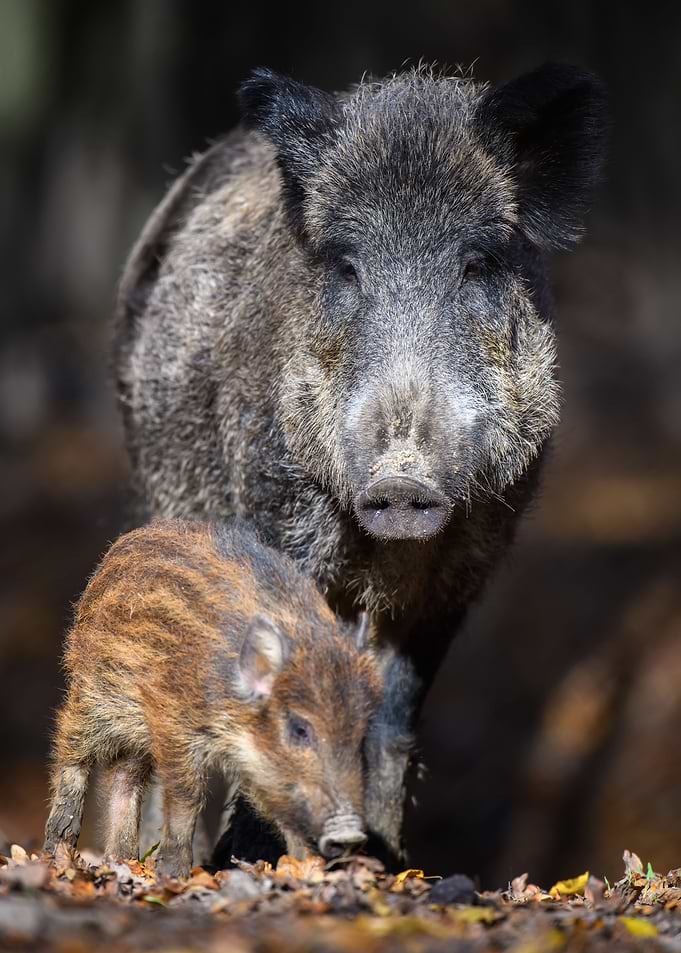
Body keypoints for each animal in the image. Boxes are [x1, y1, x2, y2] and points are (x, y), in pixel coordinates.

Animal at [44, 520, 381, 877]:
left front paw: (306, 869)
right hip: (94, 691)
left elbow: (280, 807)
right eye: (299, 729)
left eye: (360, 736)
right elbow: (187, 795)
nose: (350, 835)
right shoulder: (173, 723)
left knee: (125, 778)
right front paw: (174, 874)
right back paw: (59, 846)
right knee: (70, 745)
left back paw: (124, 860)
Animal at [113, 64, 607, 863]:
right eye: (346, 266)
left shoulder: (463, 570)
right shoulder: (281, 522)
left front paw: (388, 860)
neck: (389, 553)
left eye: (476, 263)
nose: (400, 477)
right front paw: (263, 857)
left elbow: (393, 715)